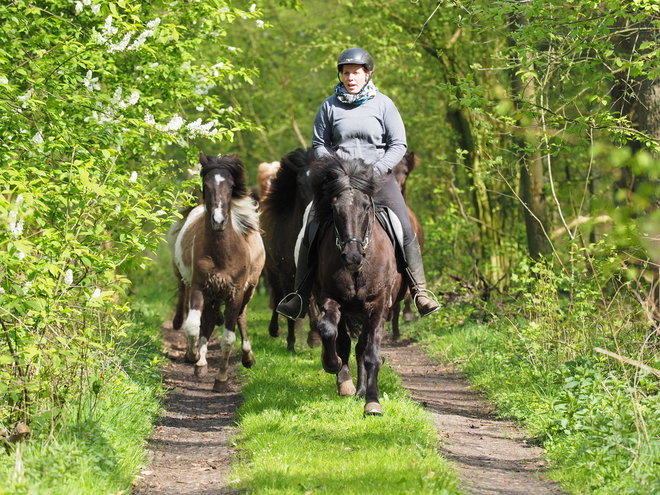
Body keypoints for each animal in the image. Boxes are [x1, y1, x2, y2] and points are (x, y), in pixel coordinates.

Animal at [168, 151, 266, 392]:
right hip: (211, 293)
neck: (222, 252)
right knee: (209, 320)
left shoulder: (235, 292)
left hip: (248, 291)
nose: (219, 221)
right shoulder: (200, 286)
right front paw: (194, 357)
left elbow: (228, 339)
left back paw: (248, 357)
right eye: (207, 184)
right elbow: (193, 326)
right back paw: (201, 363)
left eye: (231, 186)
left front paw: (221, 379)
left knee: (240, 317)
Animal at [260, 149, 318, 350]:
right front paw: (291, 342)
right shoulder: (285, 274)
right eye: (299, 182)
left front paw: (314, 337)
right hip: (272, 271)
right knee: (277, 293)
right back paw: (274, 329)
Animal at [310, 156, 408, 418]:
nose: (352, 257)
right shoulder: (330, 297)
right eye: (335, 209)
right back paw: (347, 384)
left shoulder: (378, 304)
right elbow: (328, 331)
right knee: (345, 342)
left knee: (363, 348)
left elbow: (371, 353)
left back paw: (363, 391)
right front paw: (332, 365)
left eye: (365, 207)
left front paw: (372, 402)